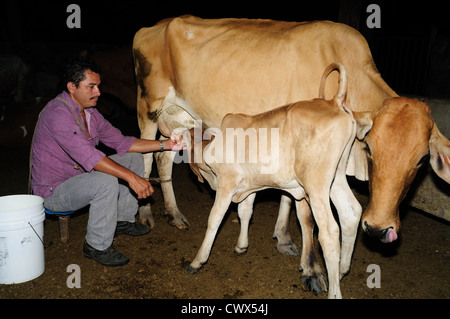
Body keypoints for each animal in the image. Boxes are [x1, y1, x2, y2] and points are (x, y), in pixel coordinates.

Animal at [134, 15, 450, 242]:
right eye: (370, 148)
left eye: (422, 160)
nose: (379, 228)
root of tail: (156, 26)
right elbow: (301, 207)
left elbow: (288, 196)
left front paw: (283, 235)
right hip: (148, 107)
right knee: (146, 158)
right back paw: (146, 213)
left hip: (180, 118)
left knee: (164, 156)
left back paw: (174, 214)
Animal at [186, 63, 362, 300]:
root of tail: (335, 101)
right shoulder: (250, 186)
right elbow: (245, 212)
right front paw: (241, 246)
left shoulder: (227, 183)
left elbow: (215, 218)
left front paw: (198, 260)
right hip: (337, 177)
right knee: (350, 213)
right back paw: (342, 270)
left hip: (316, 185)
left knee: (330, 232)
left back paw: (334, 291)